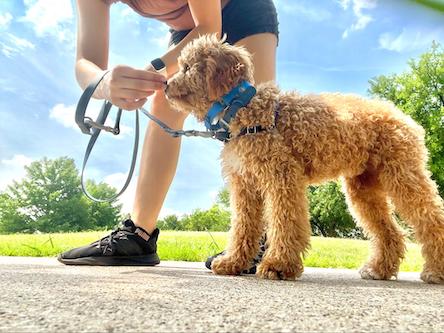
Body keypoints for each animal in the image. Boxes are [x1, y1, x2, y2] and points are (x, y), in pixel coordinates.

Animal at [166, 34, 444, 282]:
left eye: (187, 67)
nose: (166, 85)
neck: (246, 110)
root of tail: (402, 116)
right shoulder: (245, 185)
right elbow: (243, 227)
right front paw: (233, 262)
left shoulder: (282, 178)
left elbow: (285, 222)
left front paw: (278, 265)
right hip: (363, 189)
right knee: (390, 232)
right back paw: (379, 269)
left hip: (403, 176)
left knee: (431, 217)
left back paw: (435, 271)